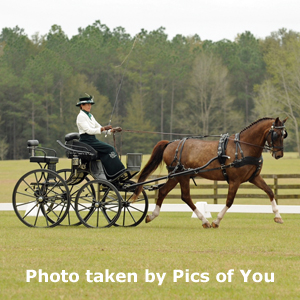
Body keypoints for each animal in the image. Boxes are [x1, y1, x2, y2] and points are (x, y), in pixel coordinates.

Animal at [132, 116, 288, 227]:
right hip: (183, 176)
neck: (243, 147)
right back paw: (204, 221)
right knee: (185, 196)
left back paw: (152, 215)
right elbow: (229, 201)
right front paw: (216, 221)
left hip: (176, 176)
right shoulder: (235, 180)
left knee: (163, 191)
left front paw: (278, 216)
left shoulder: (254, 177)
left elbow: (270, 192)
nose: (279, 155)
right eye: (275, 134)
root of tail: (170, 143)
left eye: (284, 134)